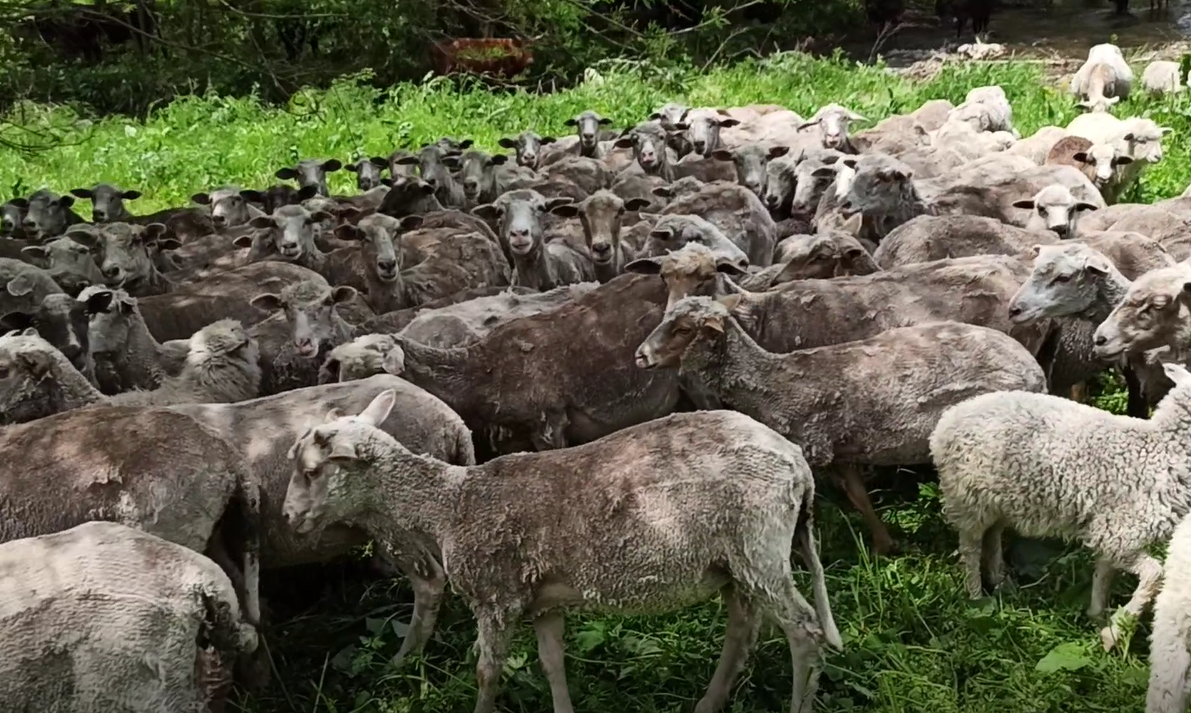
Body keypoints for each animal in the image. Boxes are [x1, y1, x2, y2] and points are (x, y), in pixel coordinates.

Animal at [283, 392, 843, 713]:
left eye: (311, 470)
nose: (288, 517)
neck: (449, 503)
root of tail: (796, 461)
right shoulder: (541, 602)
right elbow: (553, 665)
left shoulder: (494, 596)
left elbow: (486, 673)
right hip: (736, 561)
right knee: (743, 629)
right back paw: (709, 702)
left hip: (759, 544)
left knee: (804, 631)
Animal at [643, 295, 1043, 552]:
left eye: (683, 330)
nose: (640, 356)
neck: (773, 383)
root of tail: (1034, 370)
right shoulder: (839, 450)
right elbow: (859, 497)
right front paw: (886, 545)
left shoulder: (811, 447)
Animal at [924, 361, 1191, 652]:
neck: (1159, 450)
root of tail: (944, 425)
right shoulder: (1120, 533)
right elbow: (1155, 573)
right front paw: (1115, 630)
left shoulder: (1108, 533)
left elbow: (1103, 576)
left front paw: (1099, 619)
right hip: (967, 498)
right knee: (970, 547)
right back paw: (975, 598)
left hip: (998, 500)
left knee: (992, 536)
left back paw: (1001, 582)